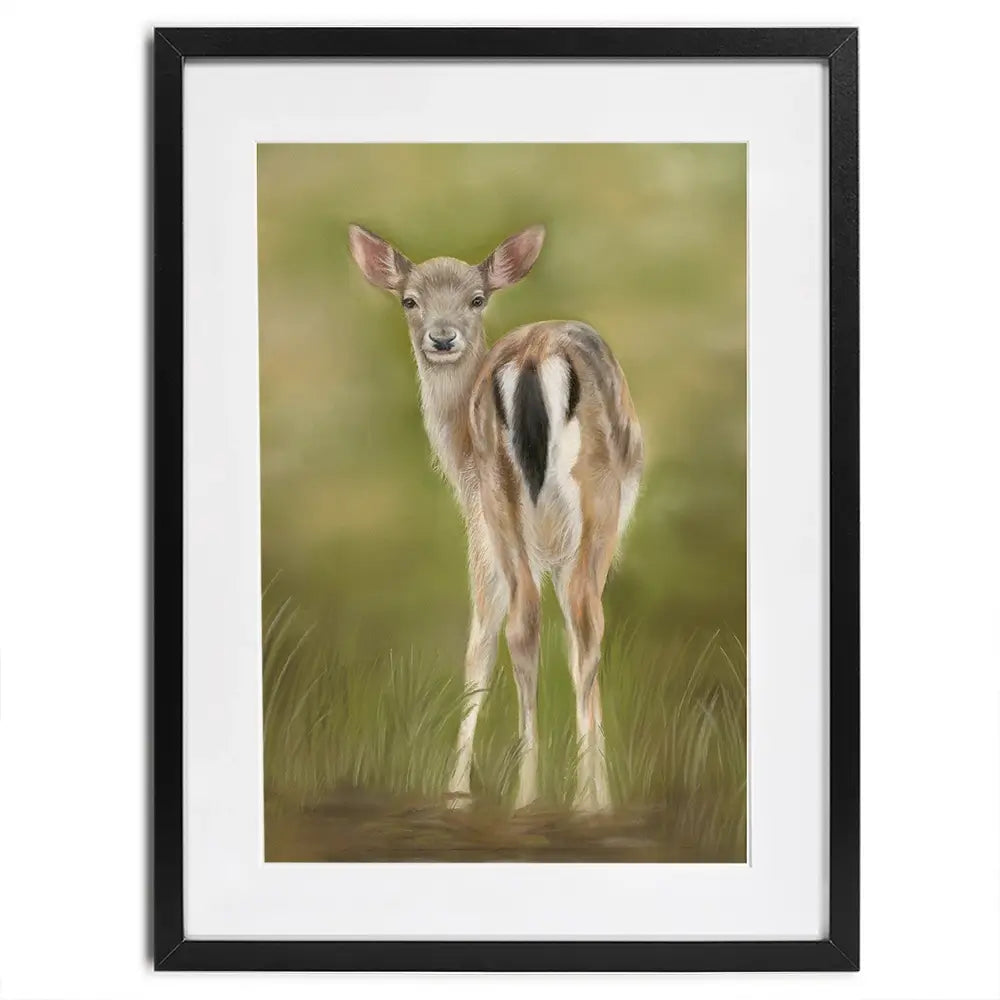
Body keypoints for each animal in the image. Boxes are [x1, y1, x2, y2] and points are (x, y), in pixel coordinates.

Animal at [348, 223, 643, 812]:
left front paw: (457, 791)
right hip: (582, 503)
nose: (441, 339)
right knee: (577, 620)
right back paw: (570, 801)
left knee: (533, 622)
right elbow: (494, 642)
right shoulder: (492, 532)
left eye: (476, 299)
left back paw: (533, 796)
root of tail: (532, 358)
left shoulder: (492, 527)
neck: (456, 455)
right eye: (409, 299)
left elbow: (489, 641)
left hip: (506, 498)